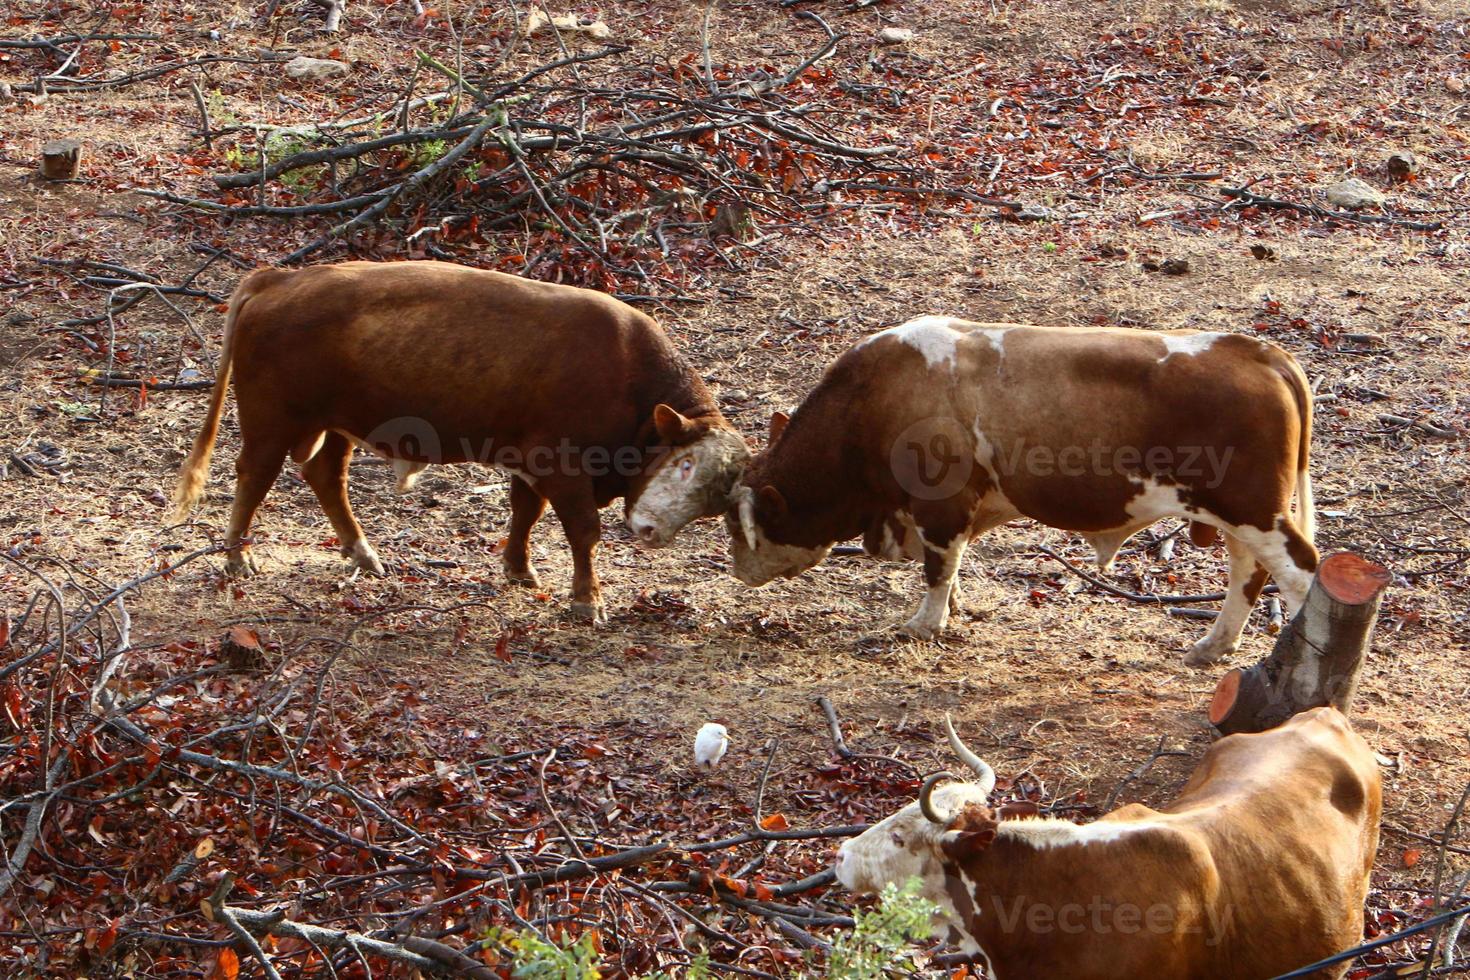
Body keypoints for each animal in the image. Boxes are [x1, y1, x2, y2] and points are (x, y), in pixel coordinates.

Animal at [166, 260, 752, 620]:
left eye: (715, 497)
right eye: (683, 465)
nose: (652, 532)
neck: (626, 374)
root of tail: (281, 279)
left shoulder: (530, 464)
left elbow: (525, 513)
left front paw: (519, 568)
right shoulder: (561, 468)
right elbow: (583, 532)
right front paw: (588, 601)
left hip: (336, 427)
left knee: (324, 475)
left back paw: (362, 553)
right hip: (273, 421)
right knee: (254, 476)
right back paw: (237, 558)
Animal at [729, 318, 1317, 664]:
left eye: (741, 525)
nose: (737, 570)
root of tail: (1258, 351)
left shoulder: (939, 507)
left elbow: (937, 568)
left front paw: (925, 623)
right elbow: (950, 567)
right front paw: (952, 610)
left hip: (1253, 511)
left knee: (1299, 571)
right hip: (1238, 517)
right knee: (1248, 573)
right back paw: (1214, 644)